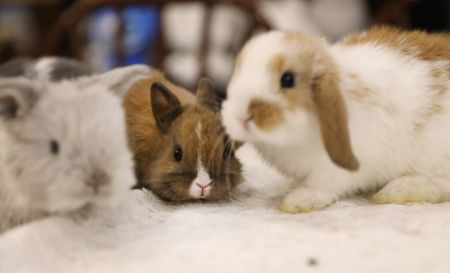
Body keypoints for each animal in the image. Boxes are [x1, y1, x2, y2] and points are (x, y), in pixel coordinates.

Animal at [221, 26, 450, 212]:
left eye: (287, 79)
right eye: (237, 71)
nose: (240, 116)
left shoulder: (338, 168)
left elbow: (325, 185)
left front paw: (299, 200)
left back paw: (399, 189)